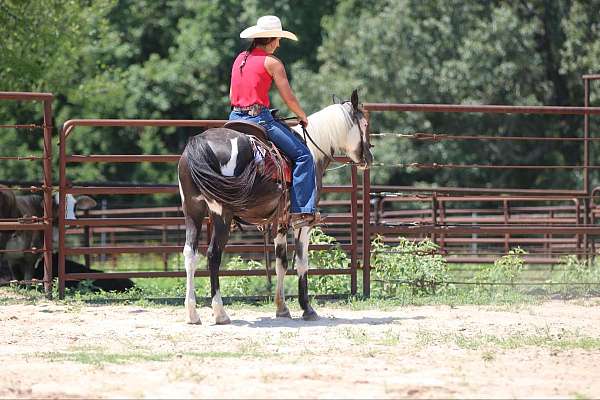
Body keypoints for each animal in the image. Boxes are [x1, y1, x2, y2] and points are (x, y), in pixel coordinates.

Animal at [177, 89, 370, 324]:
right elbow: (302, 263)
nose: (368, 157)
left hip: (192, 211)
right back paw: (221, 313)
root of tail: (200, 143)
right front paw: (307, 309)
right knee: (214, 255)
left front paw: (282, 308)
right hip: (221, 213)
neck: (313, 149)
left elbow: (281, 263)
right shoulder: (303, 223)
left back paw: (192, 314)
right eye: (365, 124)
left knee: (190, 254)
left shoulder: (281, 221)